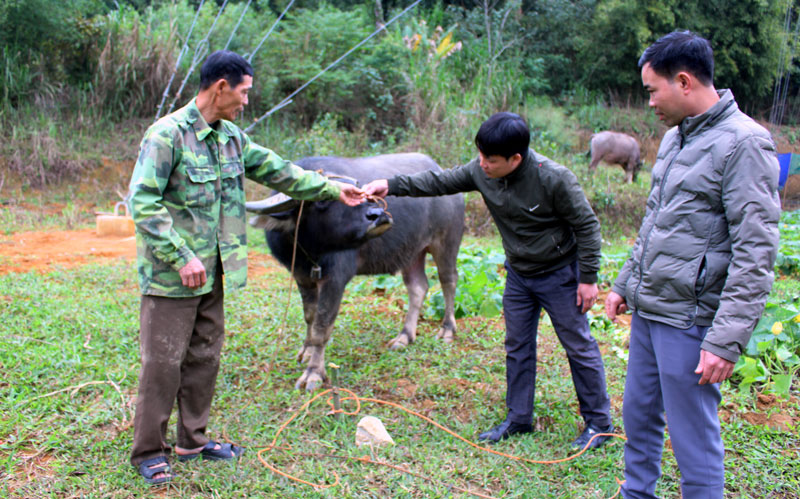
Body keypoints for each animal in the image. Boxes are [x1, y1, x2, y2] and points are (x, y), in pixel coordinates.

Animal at [247, 152, 466, 390]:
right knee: (418, 287)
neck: (309, 249)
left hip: (446, 243)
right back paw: (405, 336)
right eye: (322, 199)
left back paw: (447, 329)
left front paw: (313, 373)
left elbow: (322, 326)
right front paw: (306, 350)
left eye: (358, 190)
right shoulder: (302, 277)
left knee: (448, 281)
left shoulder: (335, 279)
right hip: (412, 251)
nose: (378, 215)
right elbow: (310, 317)